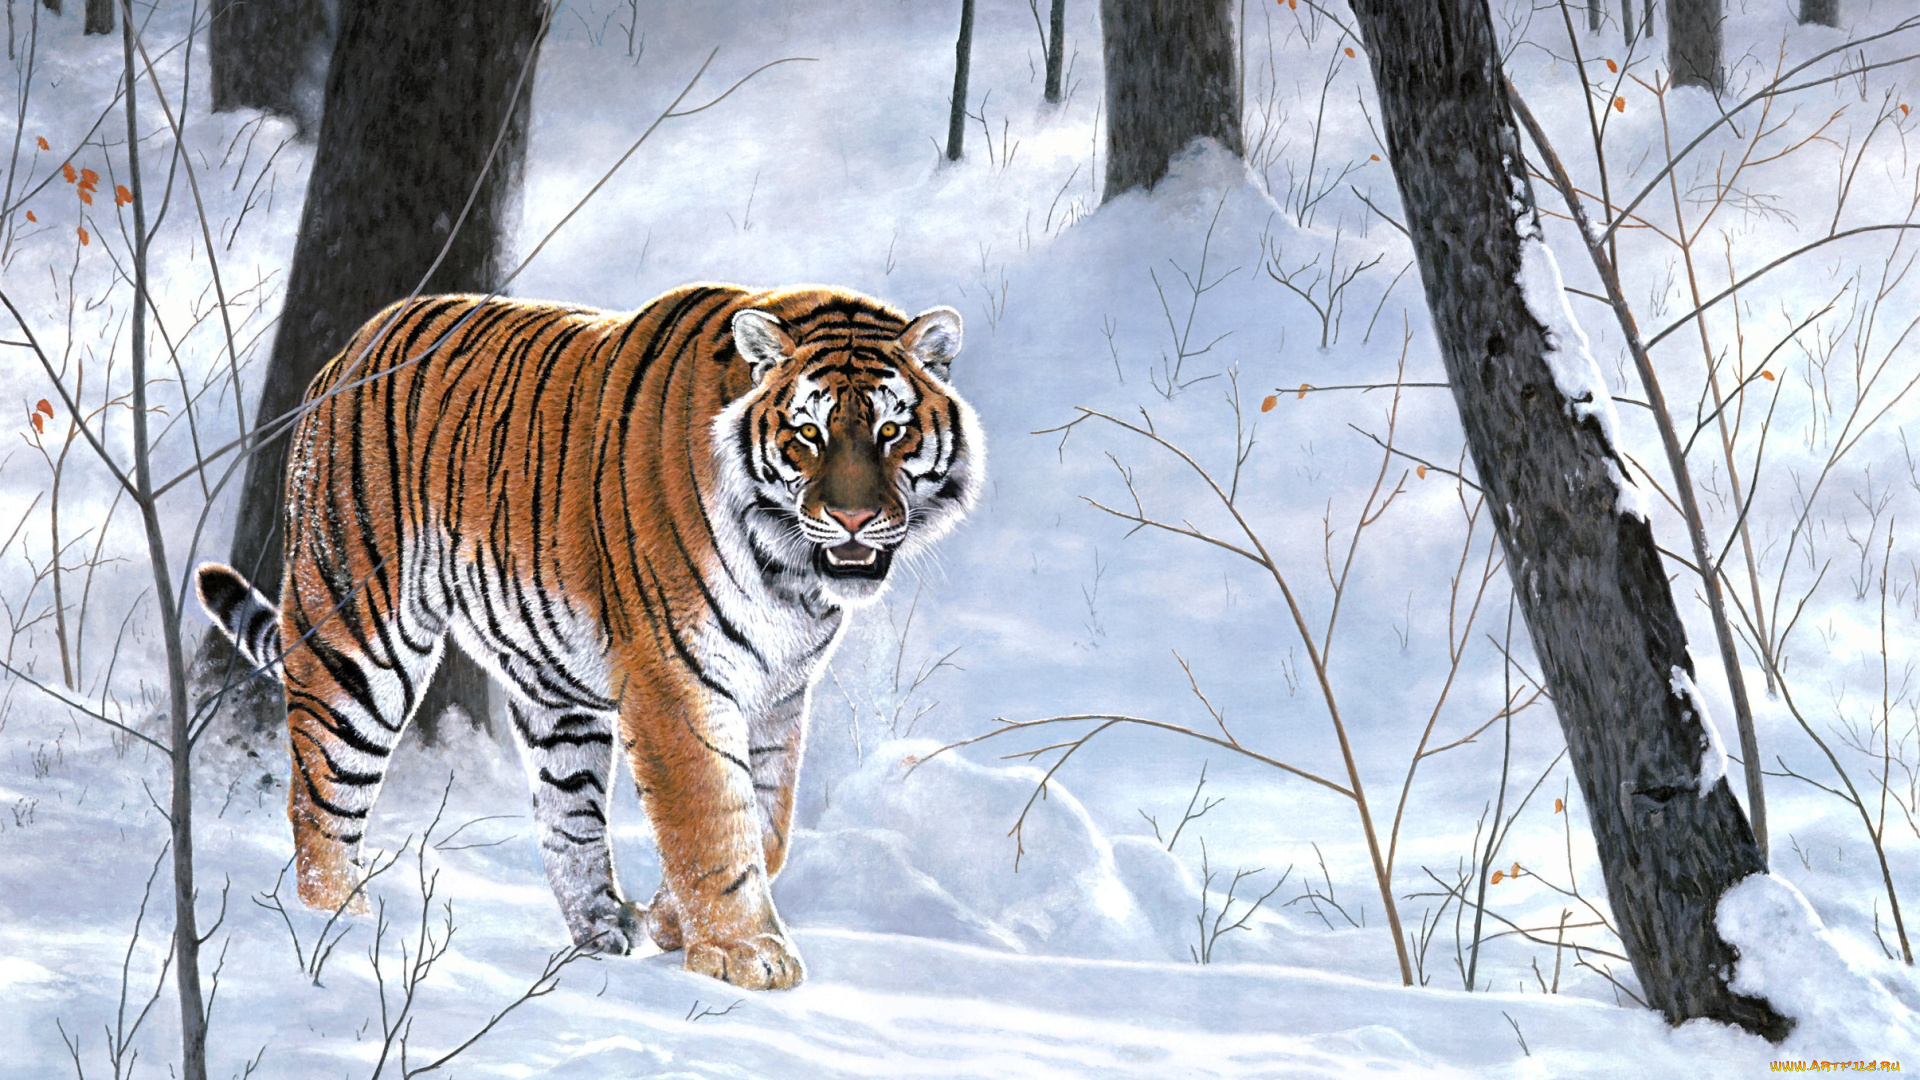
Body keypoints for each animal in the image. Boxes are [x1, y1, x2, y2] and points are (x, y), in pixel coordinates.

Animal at [195, 284, 982, 990]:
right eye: (808, 434)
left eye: (891, 432)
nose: (853, 521)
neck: (790, 575)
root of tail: (351, 346)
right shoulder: (677, 681)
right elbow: (711, 816)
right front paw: (746, 954)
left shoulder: (779, 693)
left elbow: (766, 822)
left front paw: (672, 922)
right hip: (357, 635)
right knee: (321, 793)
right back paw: (341, 927)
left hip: (553, 687)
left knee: (567, 817)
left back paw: (603, 930)